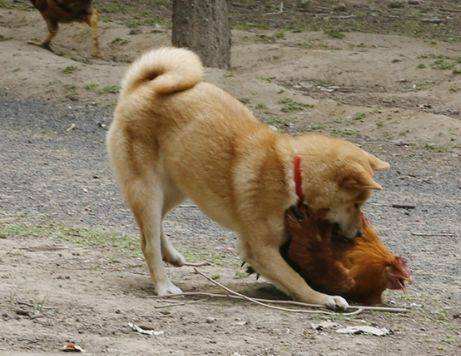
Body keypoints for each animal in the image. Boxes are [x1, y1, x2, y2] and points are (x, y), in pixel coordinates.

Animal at [107, 46, 388, 308]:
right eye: (356, 204)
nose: (359, 234)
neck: (293, 172)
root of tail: (140, 87)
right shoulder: (261, 250)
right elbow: (296, 279)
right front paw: (323, 297)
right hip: (150, 191)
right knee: (148, 243)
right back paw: (164, 285)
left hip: (179, 187)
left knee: (151, 229)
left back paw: (172, 256)